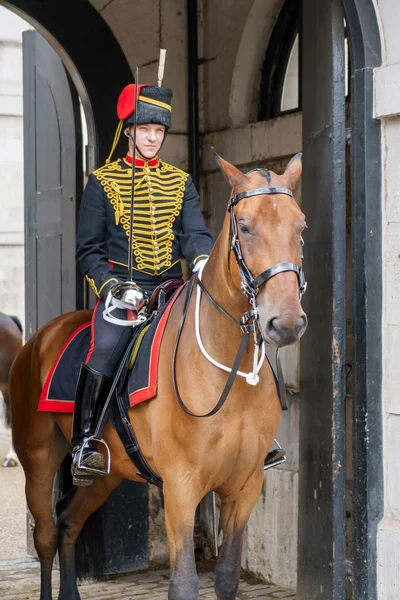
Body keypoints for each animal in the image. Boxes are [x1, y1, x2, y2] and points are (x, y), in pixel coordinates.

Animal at [10, 154, 308, 600]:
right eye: (245, 226)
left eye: (300, 226)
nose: (286, 323)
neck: (228, 375)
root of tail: (40, 338)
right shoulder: (181, 486)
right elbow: (183, 583)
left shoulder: (245, 485)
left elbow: (226, 577)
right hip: (39, 458)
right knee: (46, 532)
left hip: (106, 475)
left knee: (68, 521)